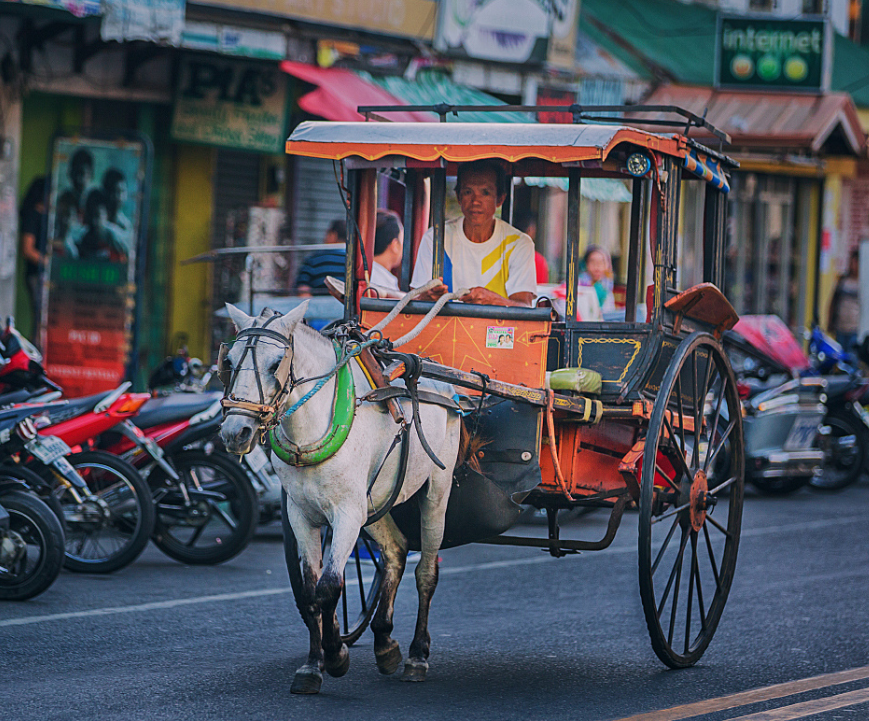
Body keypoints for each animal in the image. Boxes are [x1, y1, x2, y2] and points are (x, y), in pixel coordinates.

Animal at [217, 302, 462, 692]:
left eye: (276, 363)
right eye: (229, 361)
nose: (235, 432)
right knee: (395, 551)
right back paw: (384, 642)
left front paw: (335, 656)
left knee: (426, 572)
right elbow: (310, 589)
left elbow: (330, 586)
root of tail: (446, 385)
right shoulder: (301, 514)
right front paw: (312, 664)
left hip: (436, 490)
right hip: (376, 502)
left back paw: (417, 655)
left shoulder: (347, 514)